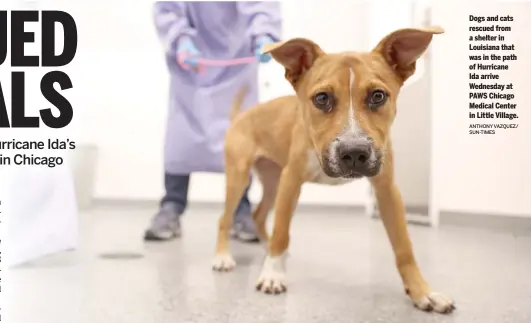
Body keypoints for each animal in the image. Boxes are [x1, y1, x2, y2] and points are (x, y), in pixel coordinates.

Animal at [211, 26, 454, 316]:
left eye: (378, 96)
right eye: (322, 98)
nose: (354, 153)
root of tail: (241, 116)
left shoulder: (387, 189)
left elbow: (404, 247)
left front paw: (423, 292)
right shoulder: (292, 181)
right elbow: (282, 231)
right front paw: (273, 275)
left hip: (273, 181)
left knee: (259, 215)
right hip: (240, 177)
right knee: (225, 219)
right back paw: (224, 257)